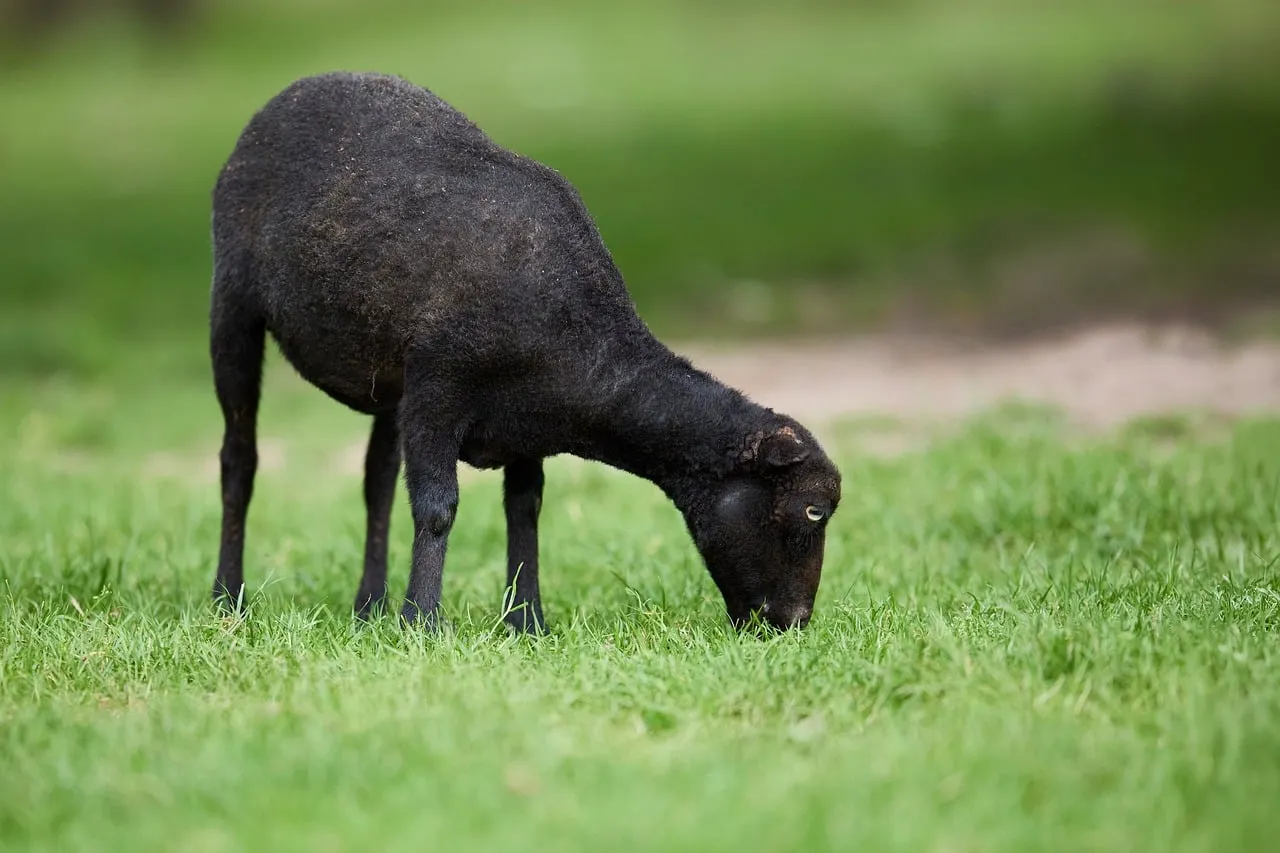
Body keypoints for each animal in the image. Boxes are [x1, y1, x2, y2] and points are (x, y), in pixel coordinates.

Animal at [210, 71, 842, 633]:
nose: (794, 622)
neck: (587, 354)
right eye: (813, 510)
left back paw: (368, 610)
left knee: (376, 479)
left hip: (388, 376)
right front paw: (423, 624)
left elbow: (525, 510)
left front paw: (526, 623)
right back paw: (228, 600)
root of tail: (297, 88)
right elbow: (438, 509)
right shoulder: (438, 391)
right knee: (240, 460)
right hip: (233, 304)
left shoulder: (523, 423)